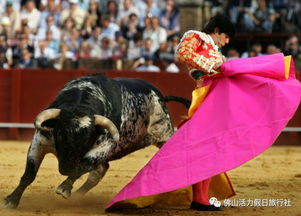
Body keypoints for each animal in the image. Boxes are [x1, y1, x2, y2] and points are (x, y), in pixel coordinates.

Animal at [3, 73, 189, 208]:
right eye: (61, 134)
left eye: (87, 139)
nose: (66, 168)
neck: (80, 106)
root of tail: (161, 97)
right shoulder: (40, 140)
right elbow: (29, 174)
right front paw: (11, 201)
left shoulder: (104, 147)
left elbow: (83, 164)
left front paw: (64, 188)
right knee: (99, 171)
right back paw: (77, 197)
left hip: (165, 134)